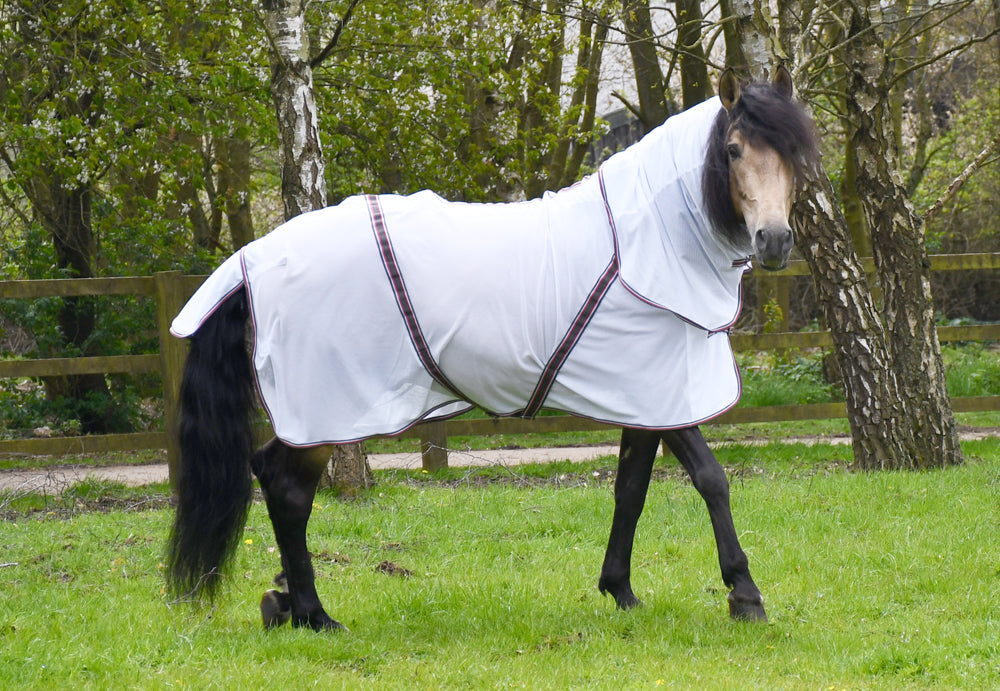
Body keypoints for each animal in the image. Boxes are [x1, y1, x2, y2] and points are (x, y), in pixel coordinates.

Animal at [165, 67, 819, 631]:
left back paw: (289, 607)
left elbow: (630, 489)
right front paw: (745, 595)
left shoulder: (647, 399)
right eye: (733, 150)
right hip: (324, 410)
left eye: (793, 155)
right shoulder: (667, 397)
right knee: (288, 487)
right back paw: (314, 615)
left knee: (278, 481)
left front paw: (622, 592)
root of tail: (253, 258)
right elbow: (712, 479)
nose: (774, 241)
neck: (648, 240)